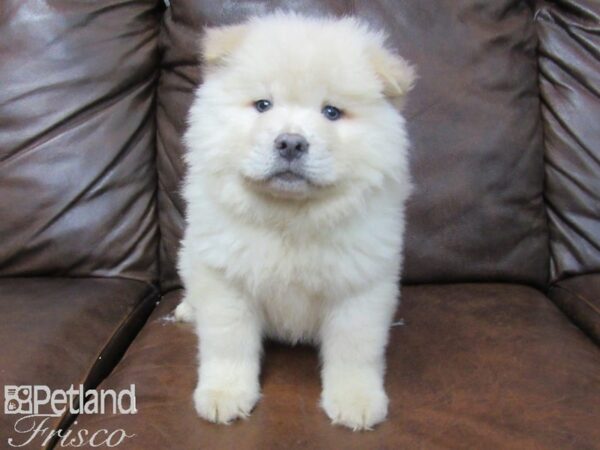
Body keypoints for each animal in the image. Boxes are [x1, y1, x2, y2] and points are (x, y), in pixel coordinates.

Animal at [176, 12, 414, 430]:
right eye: (263, 105)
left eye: (331, 112)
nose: (291, 142)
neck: (290, 216)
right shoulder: (226, 279)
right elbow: (228, 344)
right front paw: (224, 396)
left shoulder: (360, 285)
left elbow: (354, 351)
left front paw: (356, 402)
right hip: (187, 254)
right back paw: (188, 309)